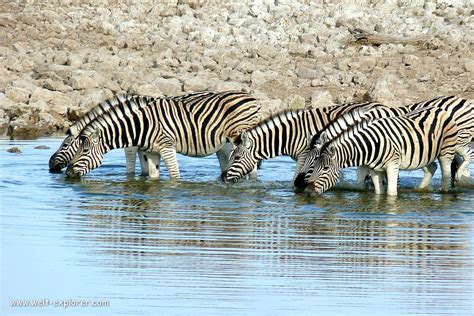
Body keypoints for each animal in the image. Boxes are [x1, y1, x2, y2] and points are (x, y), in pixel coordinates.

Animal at [65, 90, 262, 178]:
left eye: (84, 151)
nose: (67, 172)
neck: (138, 125)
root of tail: (254, 99)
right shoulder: (150, 151)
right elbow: (153, 176)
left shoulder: (166, 147)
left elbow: (174, 175)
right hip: (225, 144)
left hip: (241, 140)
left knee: (251, 167)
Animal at [220, 101, 386, 184]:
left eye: (237, 158)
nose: (222, 178)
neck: (289, 135)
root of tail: (383, 106)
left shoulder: (304, 155)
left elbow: (296, 176)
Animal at [294, 95, 472, 190]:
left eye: (313, 163)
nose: (299, 184)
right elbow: (363, 180)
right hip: (425, 151)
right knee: (435, 166)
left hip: (454, 144)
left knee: (460, 161)